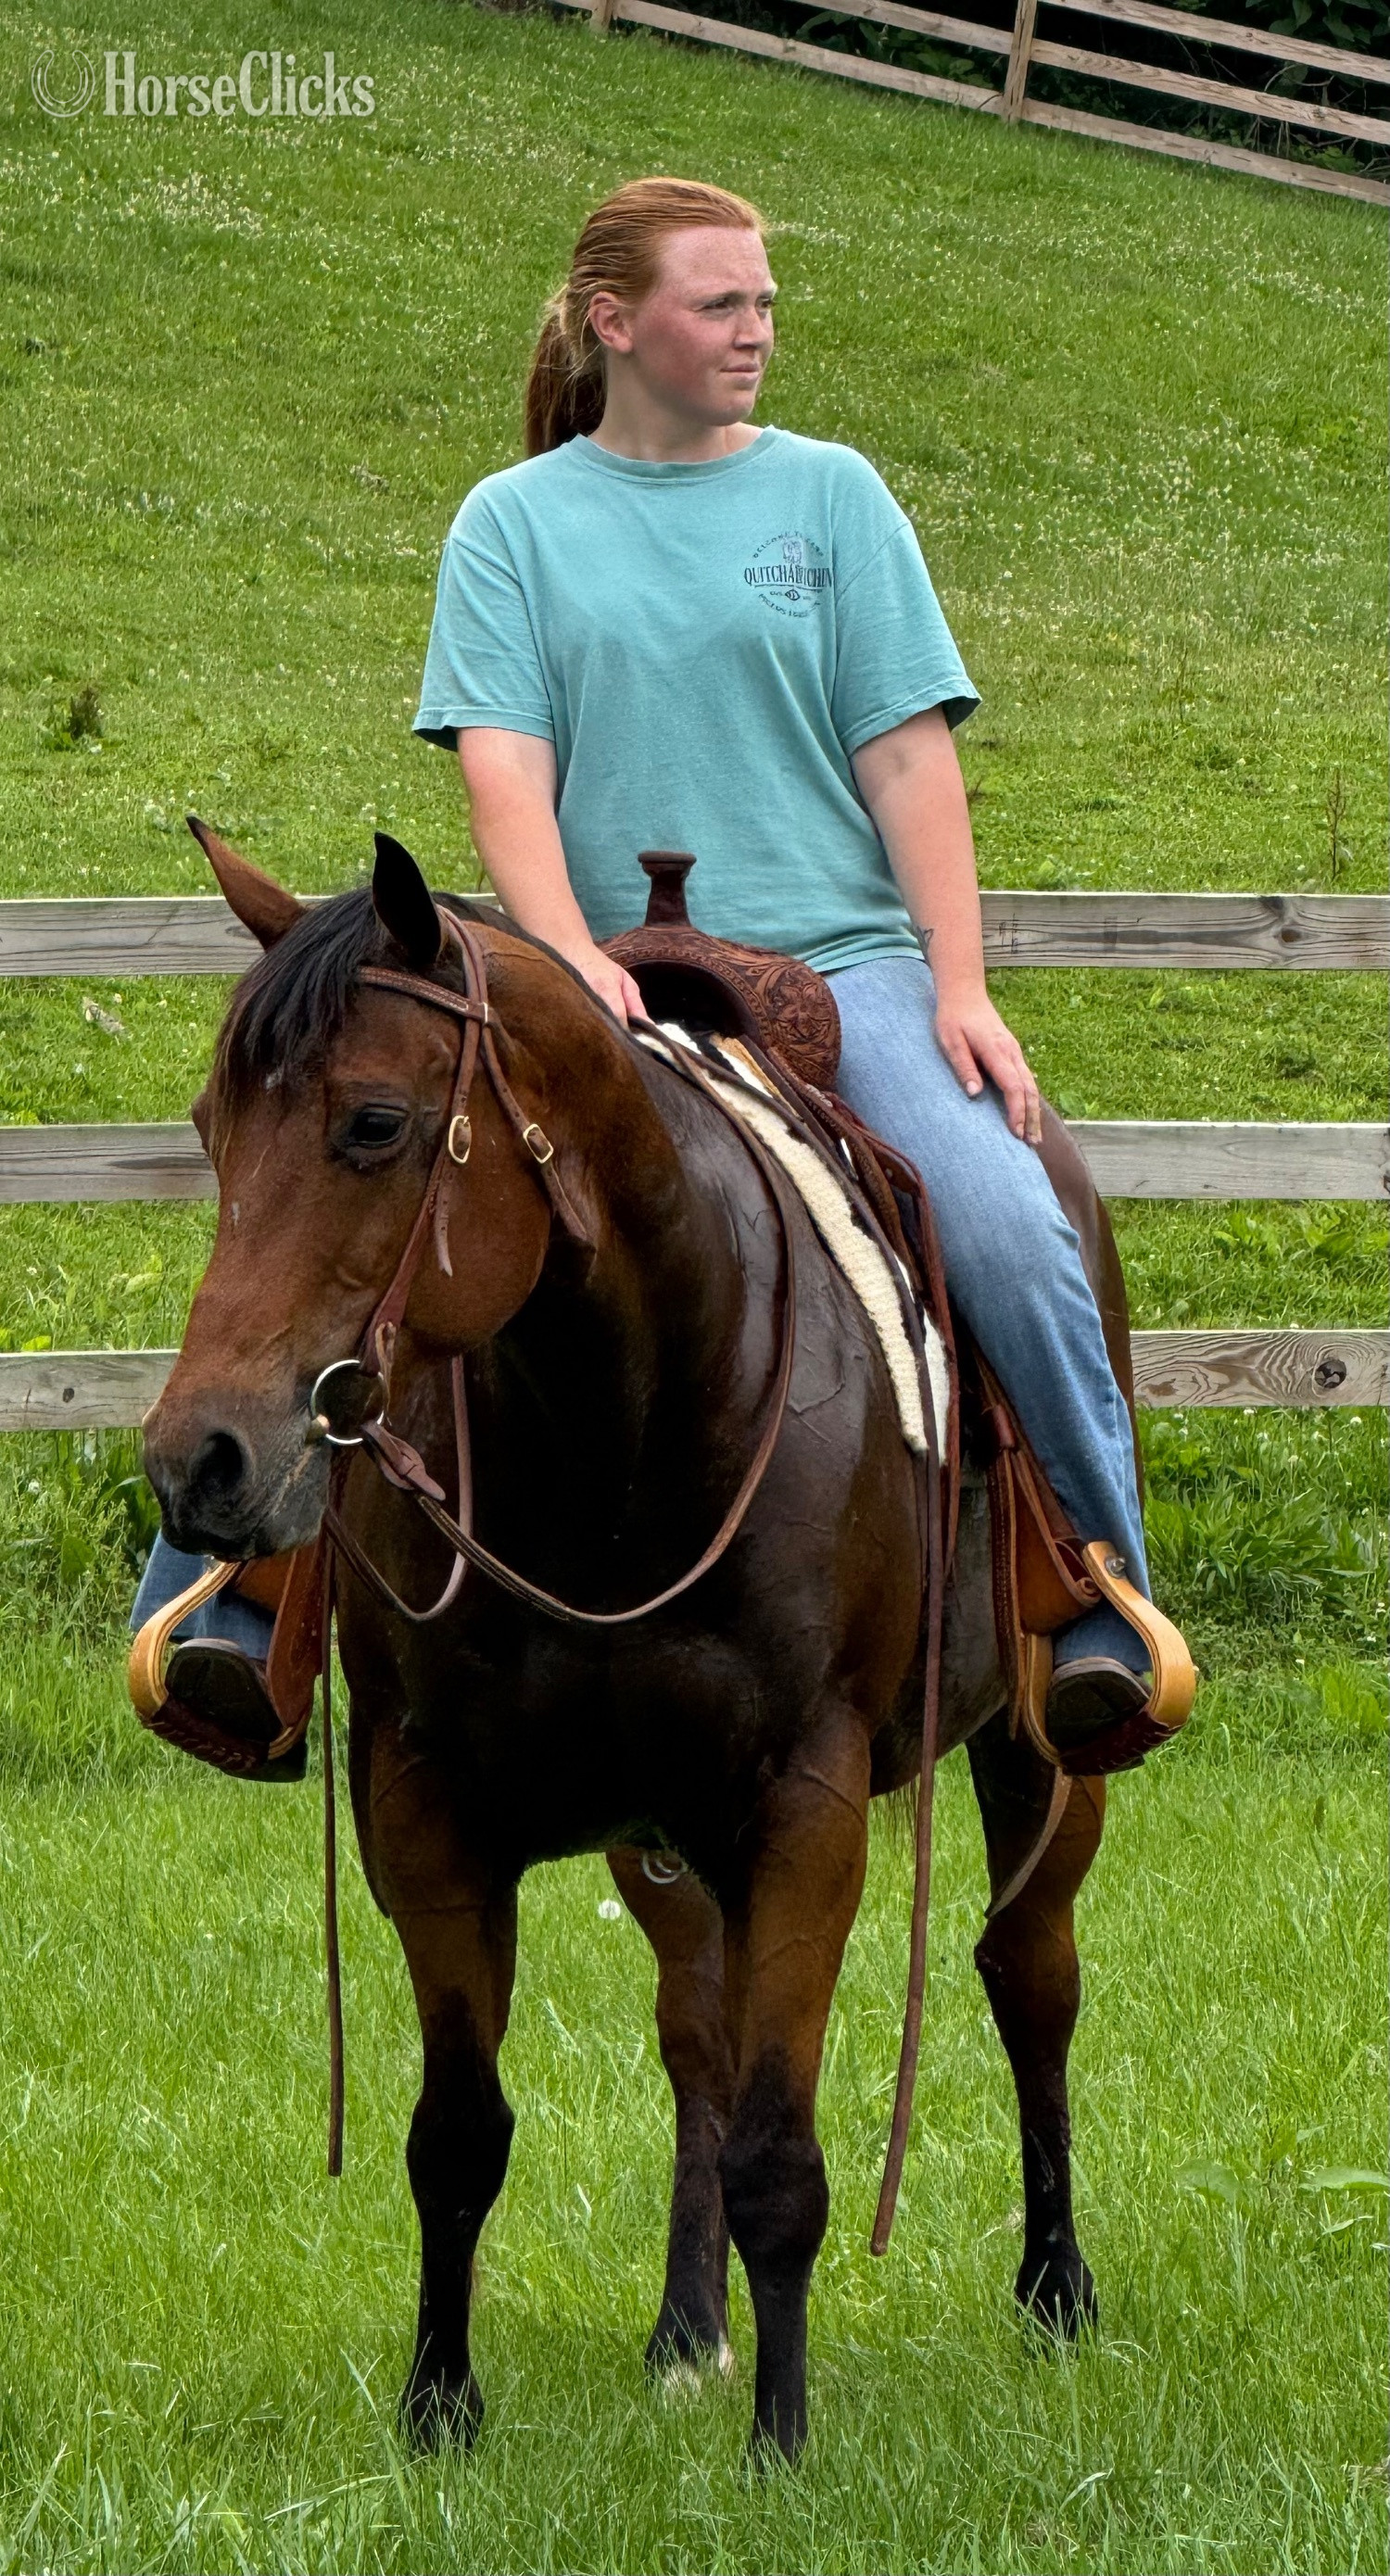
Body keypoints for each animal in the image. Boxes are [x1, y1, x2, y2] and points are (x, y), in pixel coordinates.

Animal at [140, 827, 1121, 2460]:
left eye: (375, 1123)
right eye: (215, 1130)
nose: (197, 1463)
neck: (625, 1428)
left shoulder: (806, 1808)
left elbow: (786, 2155)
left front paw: (782, 2448)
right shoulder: (424, 1807)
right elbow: (459, 2137)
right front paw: (438, 2414)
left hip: (1041, 1750)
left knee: (1029, 1974)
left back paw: (1056, 2292)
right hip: (660, 1838)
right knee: (698, 2036)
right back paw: (685, 2330)